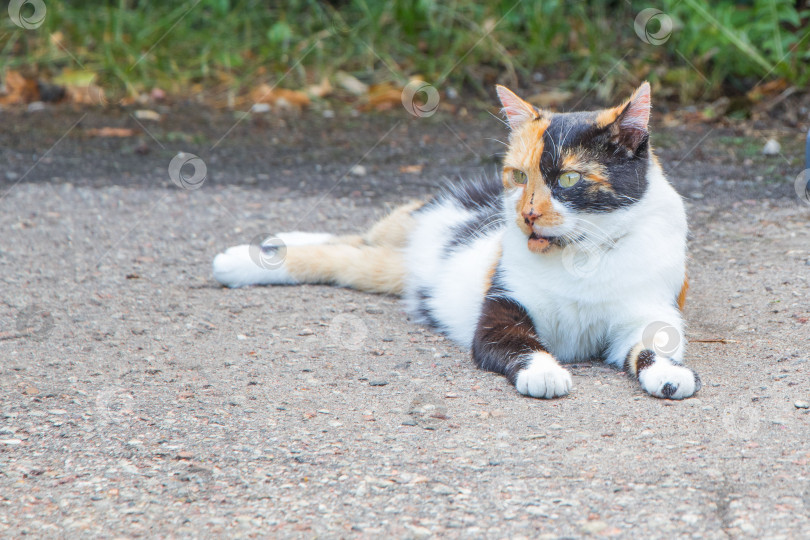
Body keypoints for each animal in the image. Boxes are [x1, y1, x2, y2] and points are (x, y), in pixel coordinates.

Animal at [211, 81, 696, 400]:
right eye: (518, 176)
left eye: (569, 179)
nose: (526, 214)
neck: (581, 257)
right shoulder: (501, 307)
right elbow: (519, 342)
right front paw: (545, 372)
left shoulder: (649, 309)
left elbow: (652, 343)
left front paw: (669, 375)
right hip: (413, 224)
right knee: (352, 242)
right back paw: (247, 258)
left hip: (386, 264)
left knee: (354, 253)